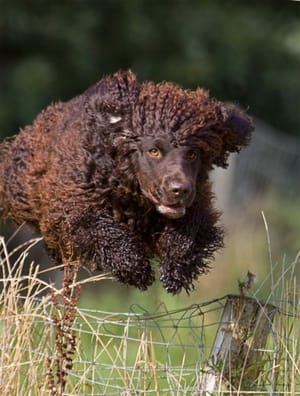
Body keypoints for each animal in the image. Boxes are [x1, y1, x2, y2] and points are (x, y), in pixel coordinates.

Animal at [0, 71, 253, 294]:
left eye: (192, 154)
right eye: (153, 151)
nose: (179, 190)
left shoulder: (196, 205)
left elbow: (187, 236)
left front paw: (175, 270)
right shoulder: (75, 206)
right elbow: (104, 231)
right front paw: (135, 268)